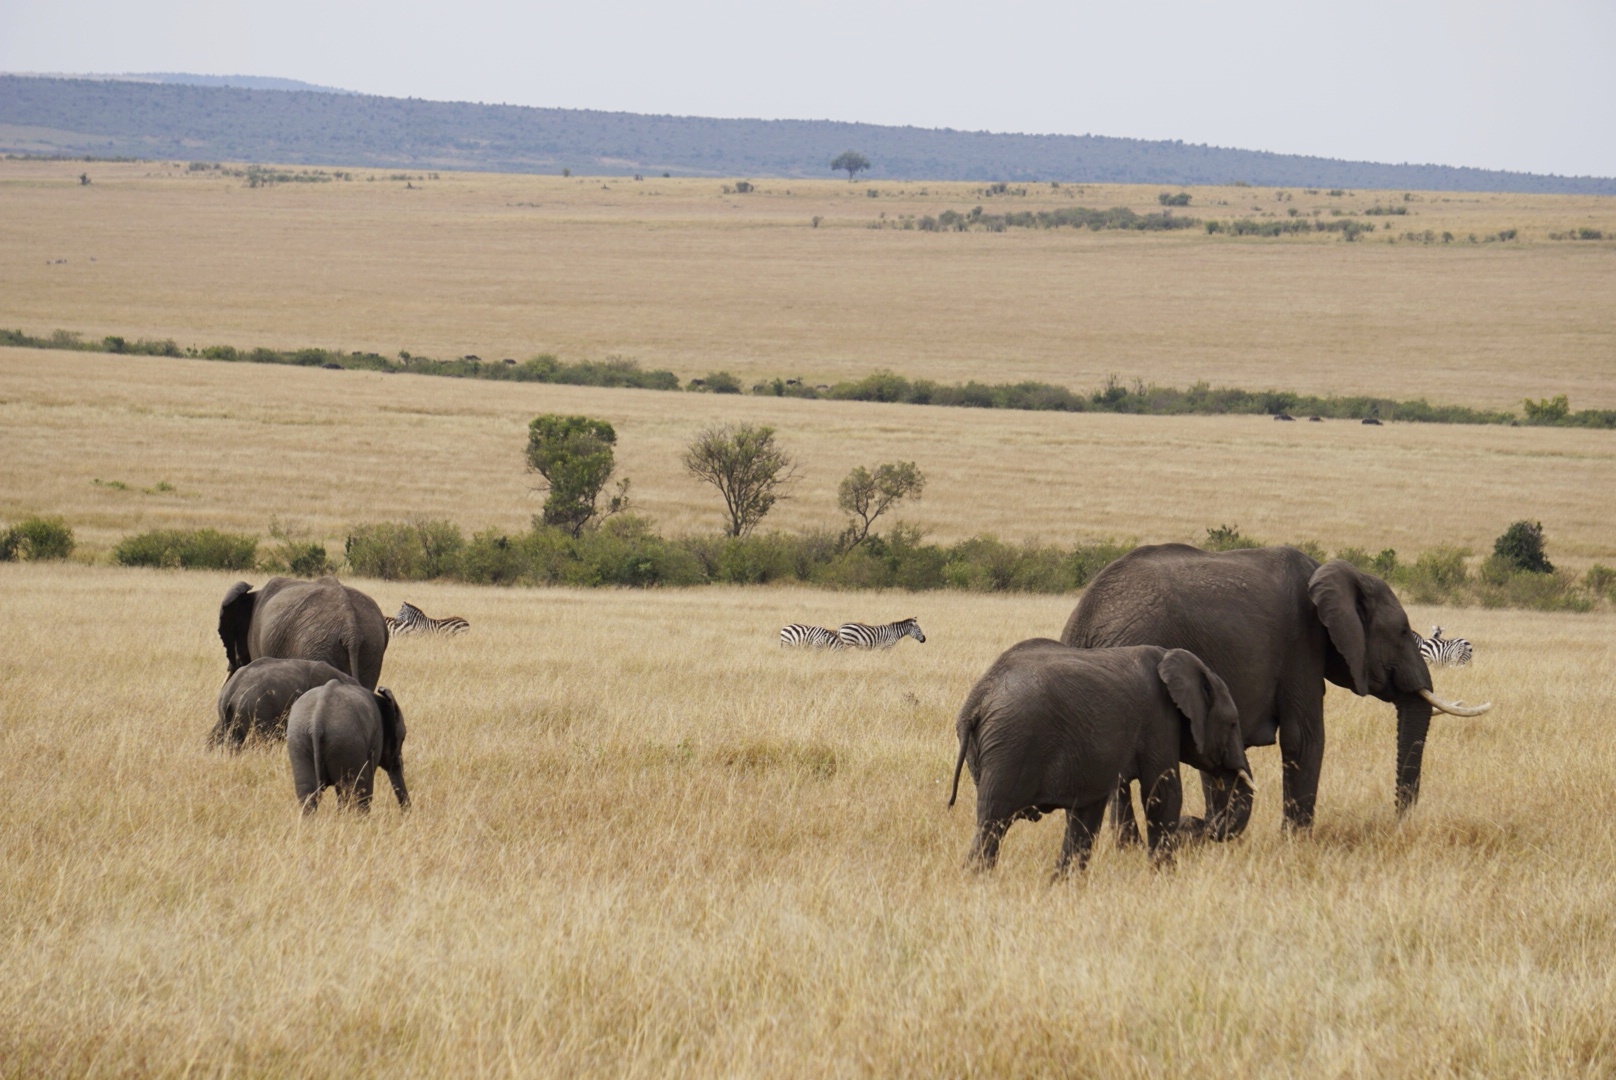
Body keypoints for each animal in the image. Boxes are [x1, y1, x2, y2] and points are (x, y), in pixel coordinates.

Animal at [287, 679, 410, 814]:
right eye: (403, 738)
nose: (405, 814)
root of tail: (316, 723)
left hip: (299, 741)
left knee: (308, 793)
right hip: (345, 742)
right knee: (352, 789)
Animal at [943, 640, 1247, 879]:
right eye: (1233, 723)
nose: (1194, 825)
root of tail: (978, 698)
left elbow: (1087, 813)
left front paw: (1064, 885)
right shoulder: (1158, 720)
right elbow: (1162, 792)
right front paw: (1166, 878)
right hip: (1012, 744)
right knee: (993, 819)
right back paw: (977, 882)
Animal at [1060, 543, 1486, 840]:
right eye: (1401, 632)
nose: (1398, 821)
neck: (1337, 574)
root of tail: (1083, 621)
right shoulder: (1301, 645)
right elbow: (1304, 738)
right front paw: (1295, 844)